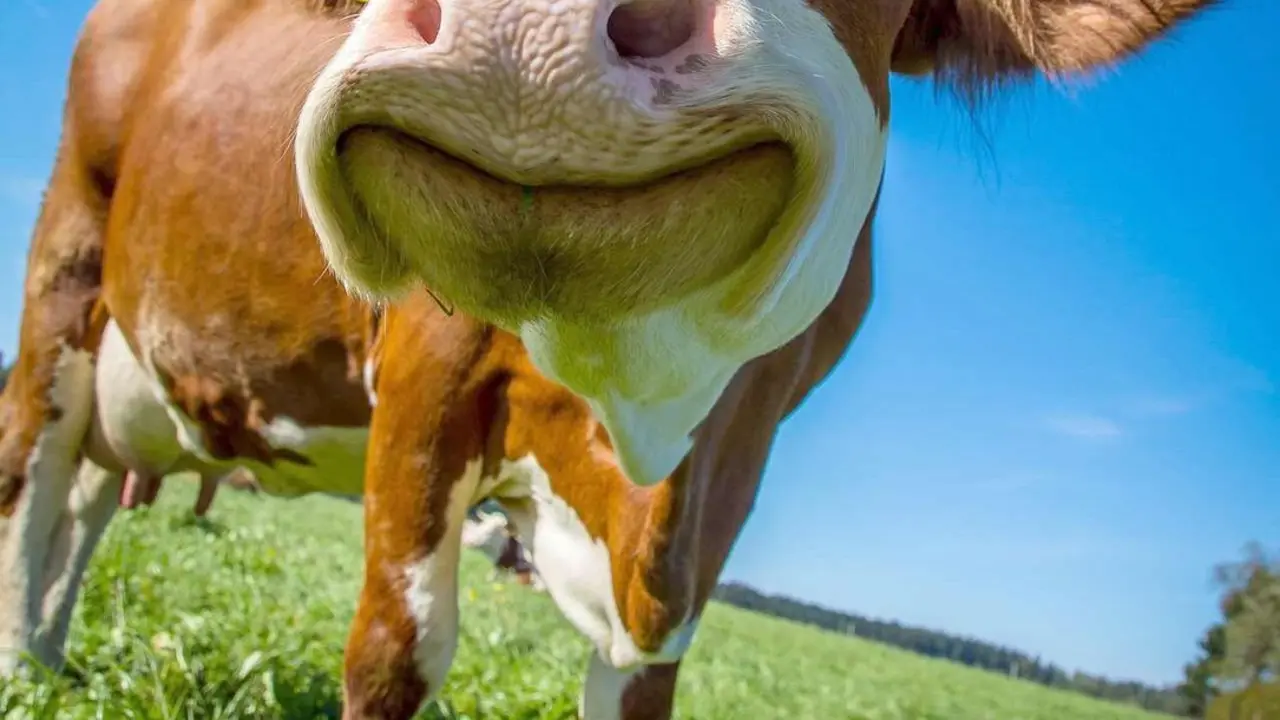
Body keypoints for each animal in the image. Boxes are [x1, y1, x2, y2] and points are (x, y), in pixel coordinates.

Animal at [0, 0, 1218, 717]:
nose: (526, 27)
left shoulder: (726, 490)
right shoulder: (428, 375)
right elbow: (398, 651)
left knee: (91, 499)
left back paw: (57, 657)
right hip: (67, 265)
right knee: (34, 477)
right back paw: (24, 667)